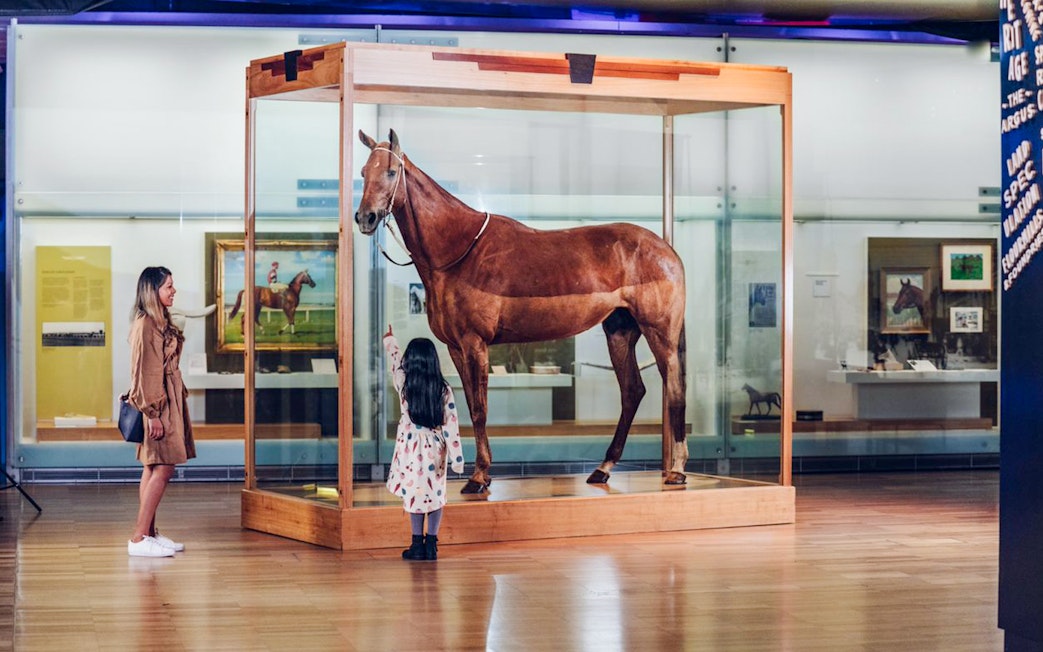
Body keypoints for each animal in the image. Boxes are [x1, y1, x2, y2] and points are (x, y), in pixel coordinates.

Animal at [355, 129, 688, 494]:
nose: (365, 217)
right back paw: (603, 468)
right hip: (619, 331)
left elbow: (481, 409)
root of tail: (668, 251)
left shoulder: (475, 343)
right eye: (363, 172)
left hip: (659, 332)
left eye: (390, 172)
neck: (458, 250)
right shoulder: (456, 347)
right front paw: (480, 474)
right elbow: (471, 404)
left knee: (674, 389)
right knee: (632, 392)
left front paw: (479, 476)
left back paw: (676, 470)